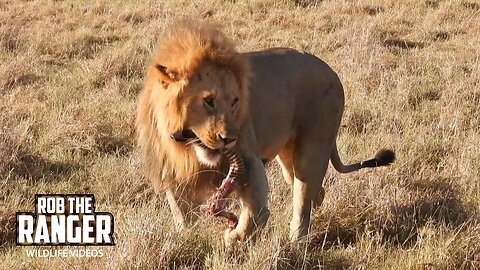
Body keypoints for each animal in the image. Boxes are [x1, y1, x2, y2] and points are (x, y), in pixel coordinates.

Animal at [135, 21, 394, 245]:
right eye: (209, 101)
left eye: (235, 101)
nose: (229, 139)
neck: (188, 148)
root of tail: (331, 71)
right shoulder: (171, 171)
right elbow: (182, 216)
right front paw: (187, 239)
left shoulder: (248, 160)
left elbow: (256, 214)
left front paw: (232, 237)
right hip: (287, 158)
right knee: (313, 191)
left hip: (312, 150)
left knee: (303, 197)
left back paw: (296, 242)